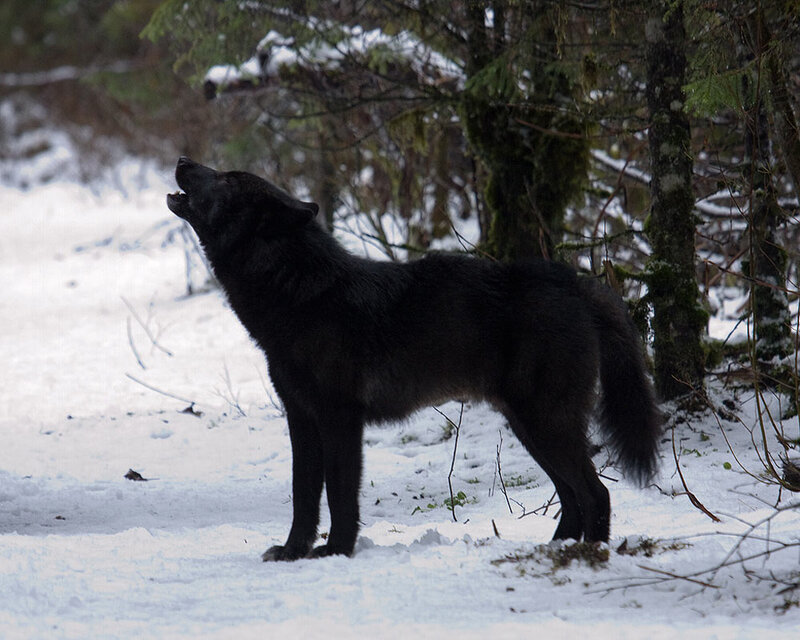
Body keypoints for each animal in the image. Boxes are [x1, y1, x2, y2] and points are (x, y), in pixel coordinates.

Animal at [167, 157, 660, 560]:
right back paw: (554, 552)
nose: (182, 159)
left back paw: (588, 557)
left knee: (595, 494)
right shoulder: (301, 419)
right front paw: (292, 553)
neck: (303, 293)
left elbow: (340, 495)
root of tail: (574, 282)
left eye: (227, 179)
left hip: (545, 423)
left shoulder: (339, 419)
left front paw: (335, 553)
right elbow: (303, 495)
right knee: (572, 496)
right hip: (529, 427)